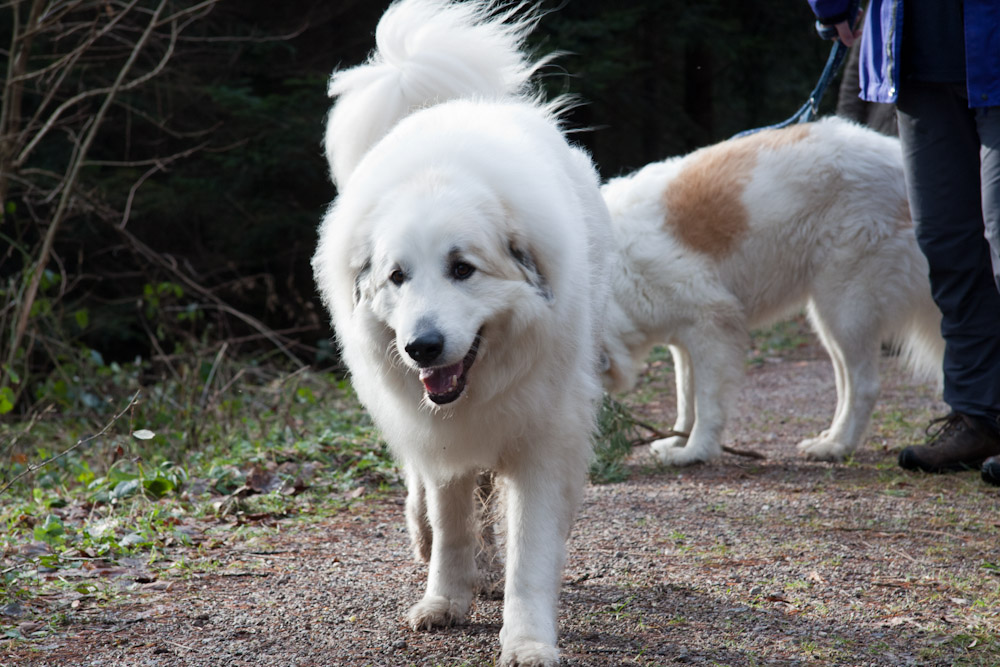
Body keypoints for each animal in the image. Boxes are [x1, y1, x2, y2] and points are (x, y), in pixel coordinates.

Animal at [310, 2, 608, 664]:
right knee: (431, 495)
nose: (420, 347)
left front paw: (527, 639)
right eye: (397, 276)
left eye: (462, 269)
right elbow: (451, 524)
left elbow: (531, 549)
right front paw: (445, 599)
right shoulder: (443, 439)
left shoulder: (544, 436)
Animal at [600, 117, 944, 468]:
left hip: (845, 307)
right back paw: (829, 439)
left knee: (865, 385)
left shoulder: (713, 324)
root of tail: (898, 159)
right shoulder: (685, 339)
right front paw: (675, 441)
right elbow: (686, 400)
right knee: (845, 381)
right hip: (828, 316)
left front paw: (695, 451)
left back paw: (838, 447)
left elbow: (707, 403)